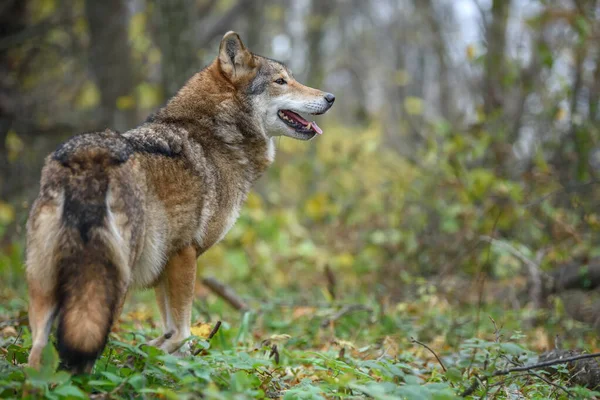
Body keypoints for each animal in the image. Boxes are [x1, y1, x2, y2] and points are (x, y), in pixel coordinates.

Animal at [25, 30, 336, 372]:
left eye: (290, 79)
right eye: (281, 81)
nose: (331, 97)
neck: (217, 134)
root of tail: (87, 160)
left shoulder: (165, 265)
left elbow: (173, 327)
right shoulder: (184, 254)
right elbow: (182, 330)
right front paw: (168, 354)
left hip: (43, 288)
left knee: (36, 357)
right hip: (110, 285)